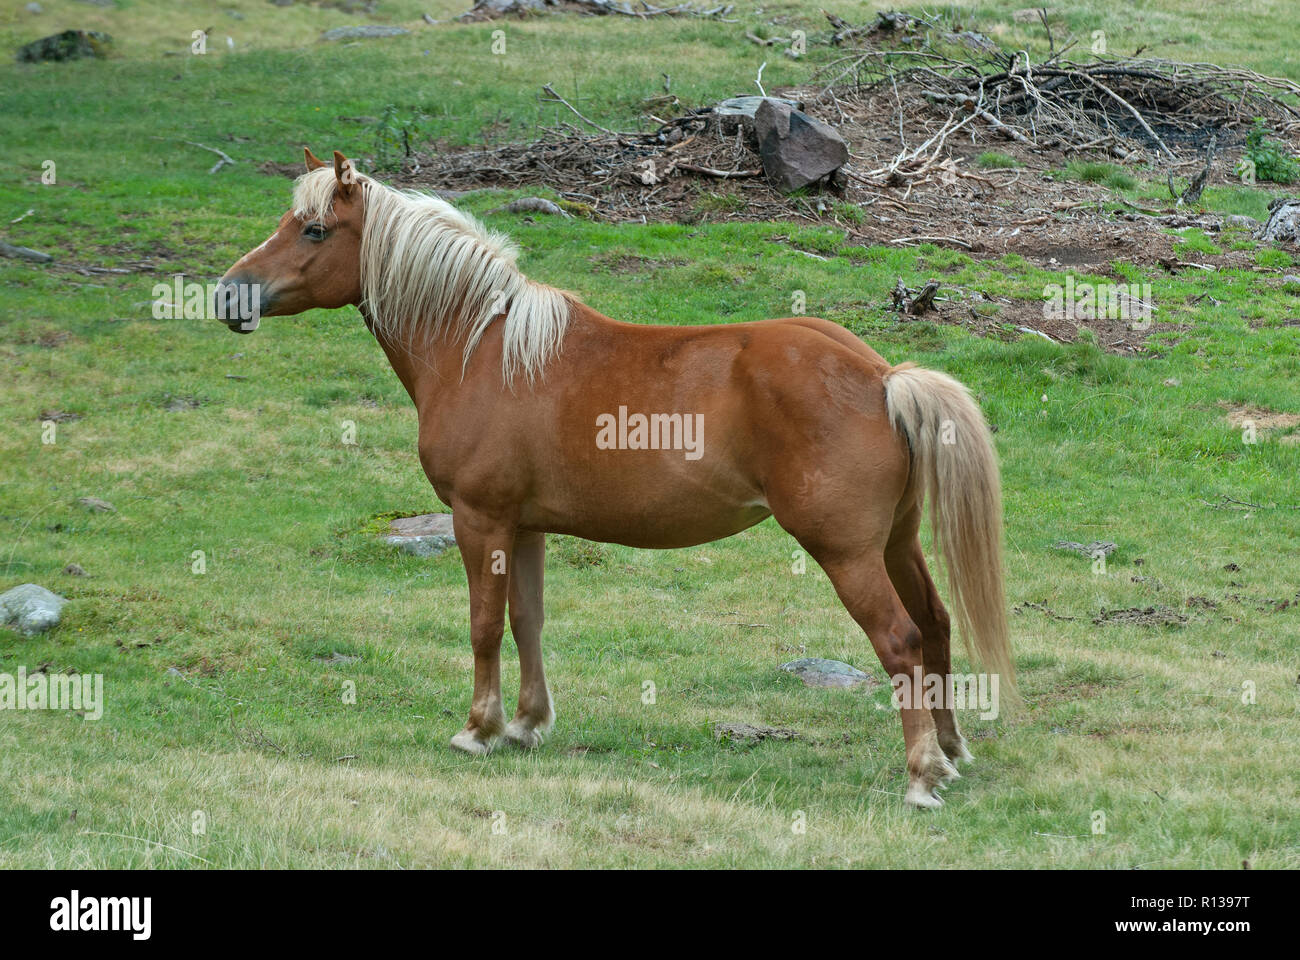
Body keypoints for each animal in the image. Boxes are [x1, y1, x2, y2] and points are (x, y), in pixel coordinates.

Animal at [215, 147, 1013, 806]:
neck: (481, 347)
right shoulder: (525, 526)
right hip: (895, 543)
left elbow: (482, 625)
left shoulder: (480, 519)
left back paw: (920, 775)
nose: (228, 294)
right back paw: (950, 752)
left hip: (846, 552)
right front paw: (527, 724)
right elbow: (526, 619)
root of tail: (881, 377)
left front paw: (478, 729)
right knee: (935, 626)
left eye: (315, 230)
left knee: (901, 640)